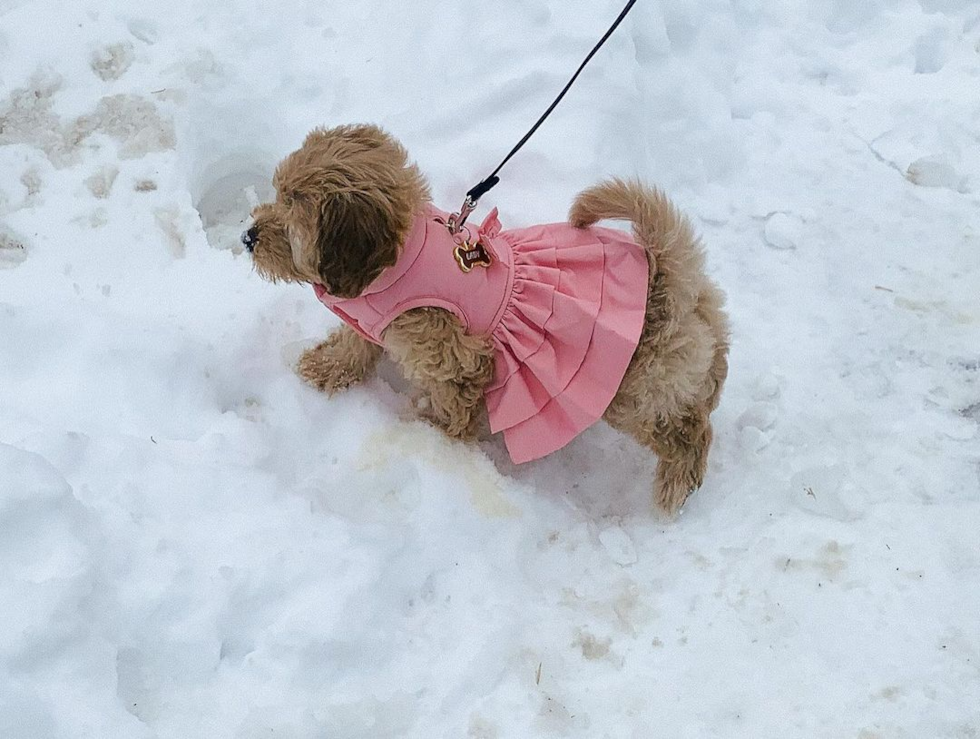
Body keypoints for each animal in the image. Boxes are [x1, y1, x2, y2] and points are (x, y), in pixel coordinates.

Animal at [247, 123, 728, 516]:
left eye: (293, 210)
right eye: (277, 194)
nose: (248, 236)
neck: (399, 260)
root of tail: (668, 273)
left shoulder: (451, 351)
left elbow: (451, 398)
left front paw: (435, 434)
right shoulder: (380, 322)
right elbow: (355, 343)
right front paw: (325, 368)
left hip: (633, 391)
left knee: (686, 429)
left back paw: (676, 485)